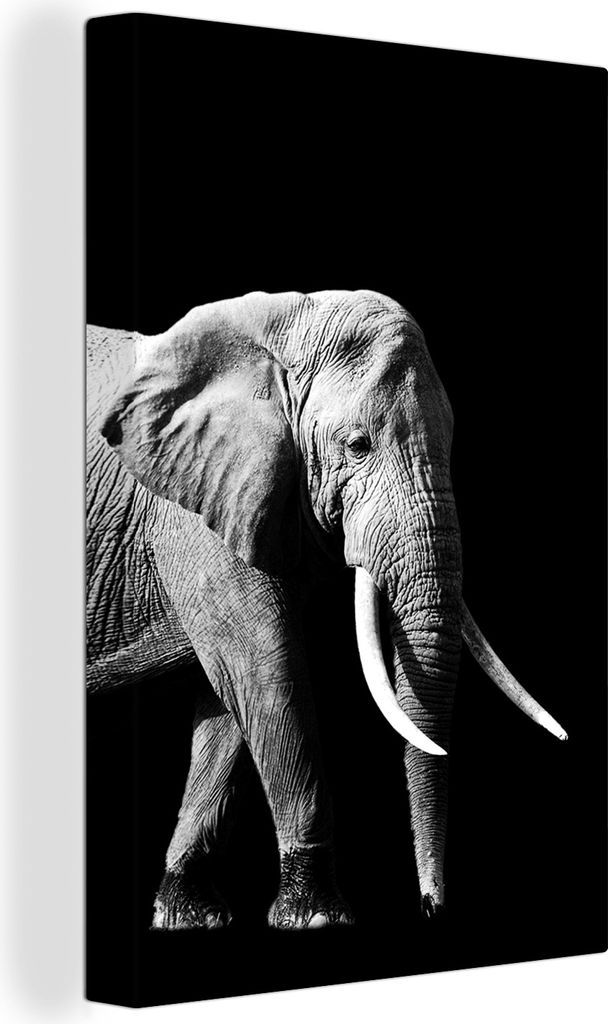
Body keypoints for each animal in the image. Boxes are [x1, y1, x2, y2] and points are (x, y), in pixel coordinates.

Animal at [86, 289, 567, 930]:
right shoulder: (194, 509)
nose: (430, 906)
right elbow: (265, 666)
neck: (283, 324)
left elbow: (228, 697)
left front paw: (188, 916)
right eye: (357, 445)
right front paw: (317, 918)